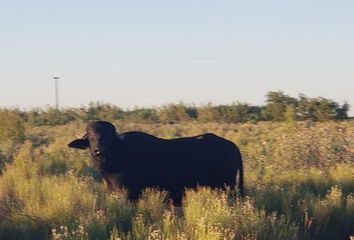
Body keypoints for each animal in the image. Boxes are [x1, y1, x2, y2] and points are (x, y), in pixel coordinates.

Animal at [68, 121, 242, 203]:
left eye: (108, 137)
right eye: (91, 137)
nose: (99, 150)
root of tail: (231, 145)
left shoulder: (131, 192)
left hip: (226, 186)